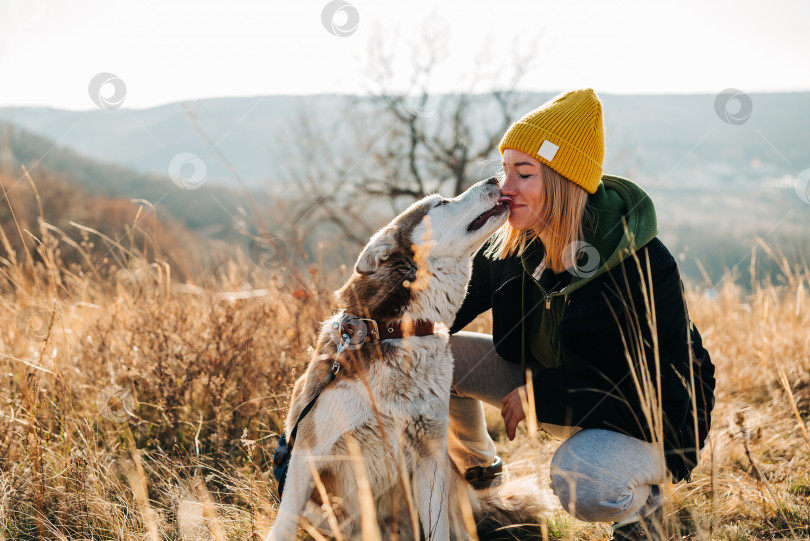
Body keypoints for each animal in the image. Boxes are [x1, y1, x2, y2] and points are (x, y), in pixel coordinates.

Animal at [268, 178, 548, 540]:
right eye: (441, 203)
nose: (493, 179)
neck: (396, 332)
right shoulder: (306, 456)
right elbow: (283, 526)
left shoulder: (430, 457)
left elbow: (437, 532)